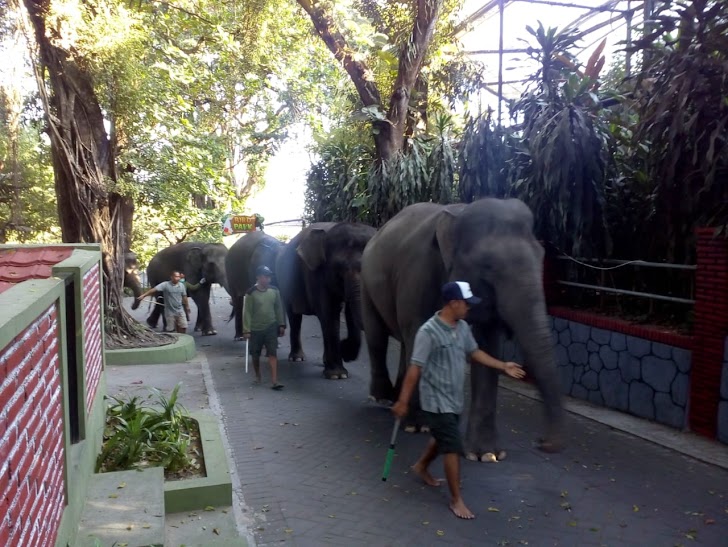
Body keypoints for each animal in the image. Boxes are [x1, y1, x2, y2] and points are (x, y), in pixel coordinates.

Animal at [278, 223, 378, 382]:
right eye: (339, 269)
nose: (344, 345)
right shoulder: (316, 275)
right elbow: (330, 314)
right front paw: (338, 375)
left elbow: (347, 313)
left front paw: (344, 354)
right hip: (285, 282)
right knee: (295, 317)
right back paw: (297, 358)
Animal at [362, 199, 564, 460]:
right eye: (488, 266)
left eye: (541, 258)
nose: (541, 442)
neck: (461, 212)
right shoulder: (418, 275)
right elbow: (418, 332)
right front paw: (418, 426)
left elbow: (486, 348)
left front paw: (487, 455)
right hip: (367, 280)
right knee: (377, 335)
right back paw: (384, 399)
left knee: (405, 344)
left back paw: (398, 401)